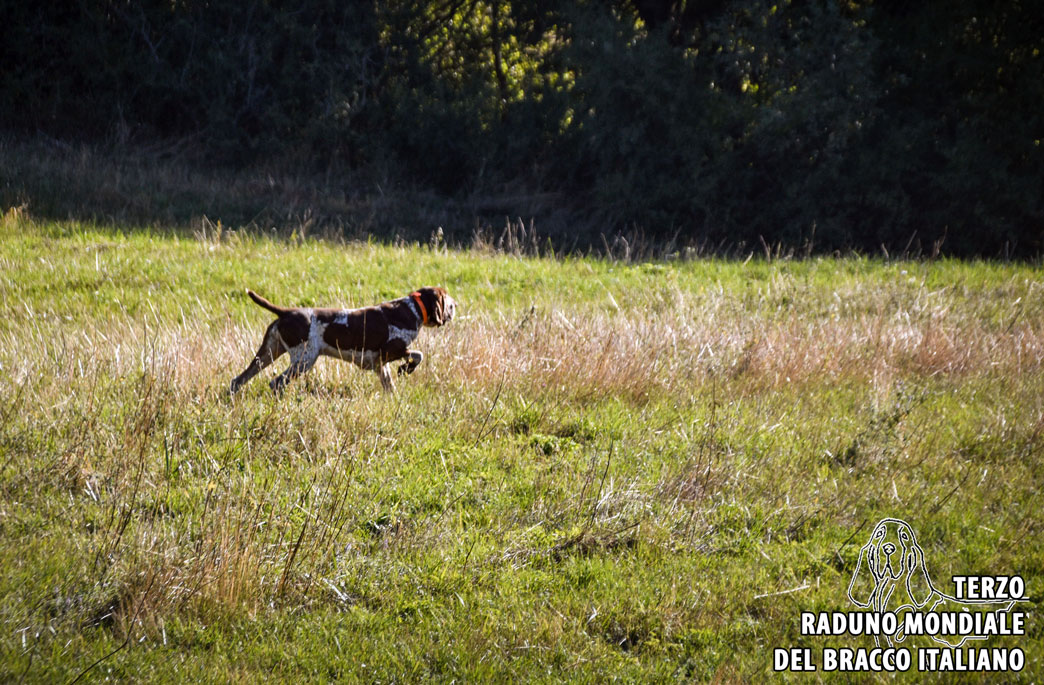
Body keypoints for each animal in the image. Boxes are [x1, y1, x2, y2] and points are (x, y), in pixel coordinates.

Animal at [230, 286, 455, 395]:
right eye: (448, 302)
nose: (456, 305)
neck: (412, 309)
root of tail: (286, 312)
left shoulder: (379, 364)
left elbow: (390, 386)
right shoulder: (390, 350)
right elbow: (418, 355)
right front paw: (406, 368)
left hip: (267, 353)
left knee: (238, 380)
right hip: (304, 360)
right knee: (276, 383)